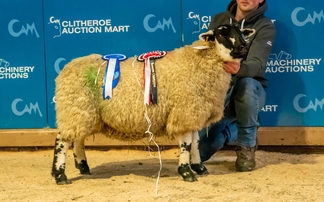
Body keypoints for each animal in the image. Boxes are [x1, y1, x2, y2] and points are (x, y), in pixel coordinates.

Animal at [51, 24, 253, 185]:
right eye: (221, 35)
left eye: (240, 32)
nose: (243, 48)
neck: (198, 61)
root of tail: (66, 68)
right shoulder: (183, 111)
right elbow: (186, 144)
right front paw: (186, 172)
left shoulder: (192, 112)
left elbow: (195, 142)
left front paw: (198, 167)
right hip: (74, 107)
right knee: (63, 140)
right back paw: (60, 175)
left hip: (82, 111)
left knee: (78, 138)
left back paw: (83, 166)